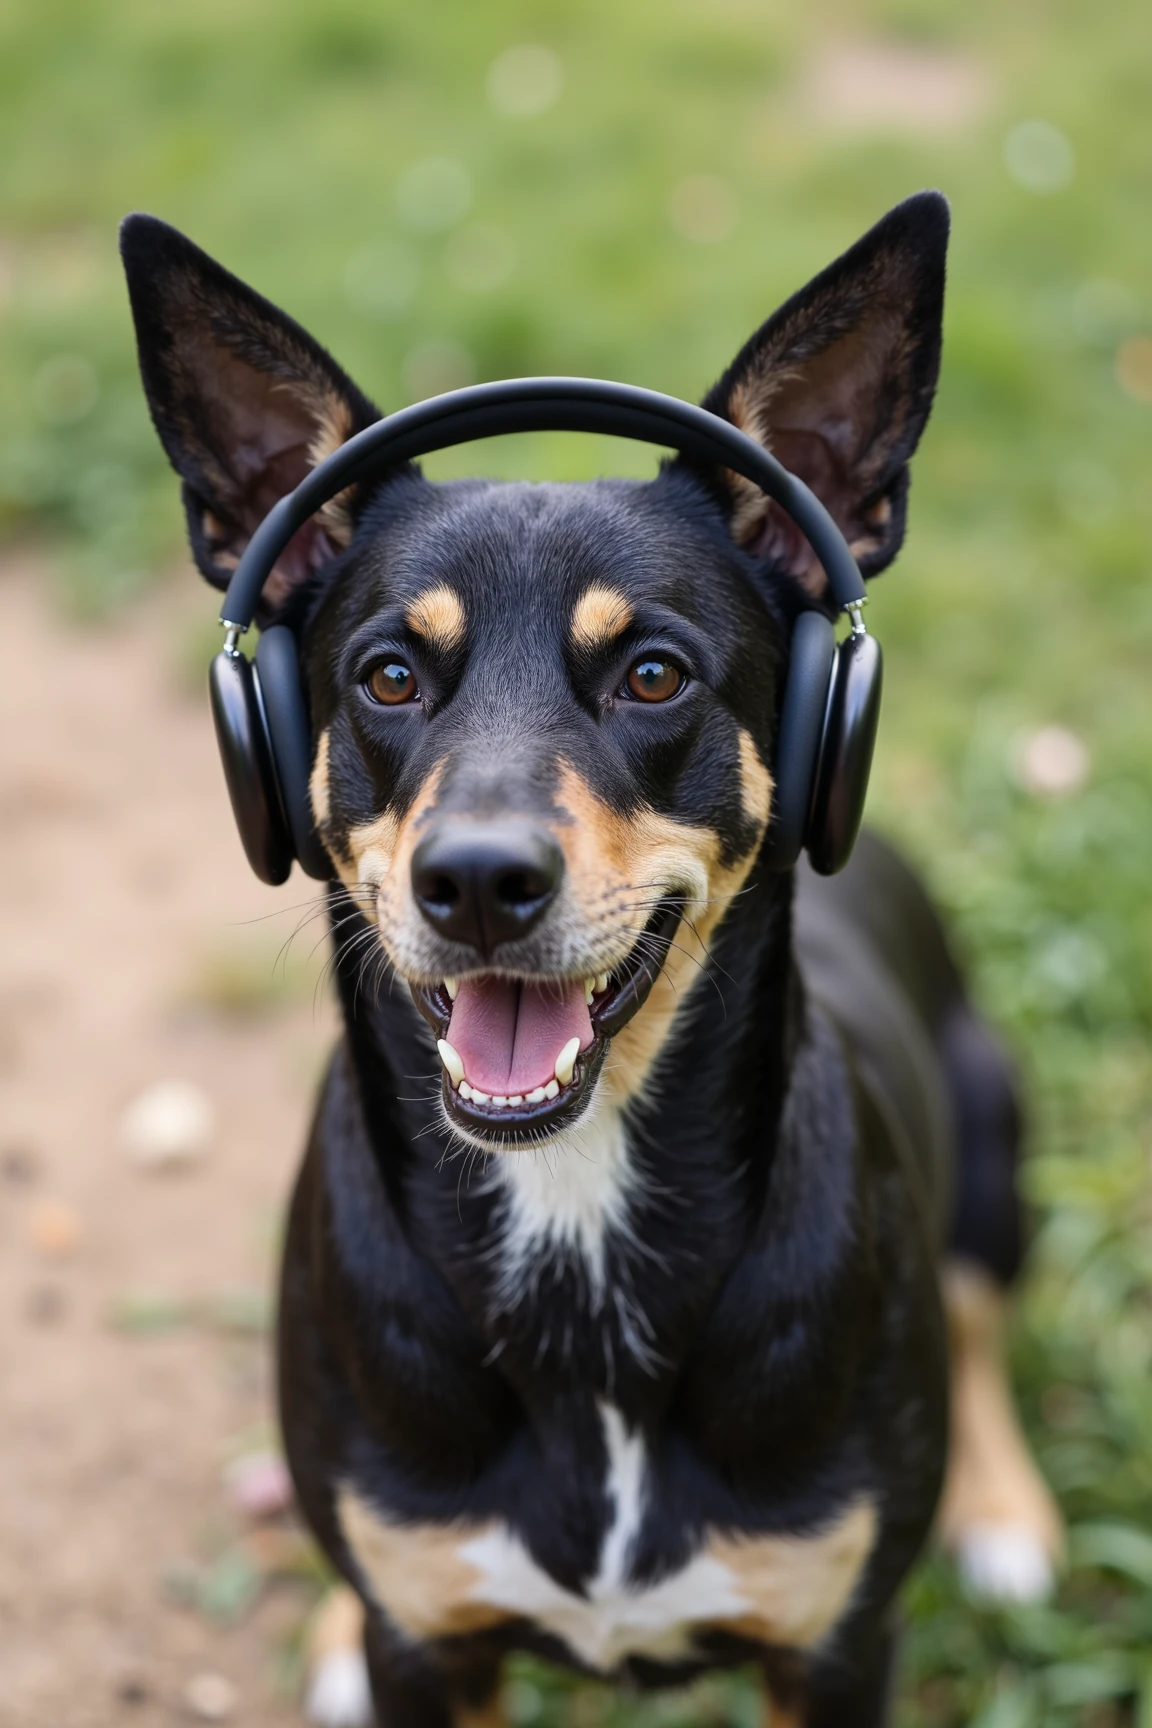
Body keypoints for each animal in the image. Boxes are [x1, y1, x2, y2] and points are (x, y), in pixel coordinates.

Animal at [124, 192, 1063, 1728]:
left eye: (654, 675)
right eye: (388, 676)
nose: (477, 884)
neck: (574, 1213)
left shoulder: (836, 1651)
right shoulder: (431, 1656)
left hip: (994, 1153)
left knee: (983, 1325)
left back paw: (1004, 1514)